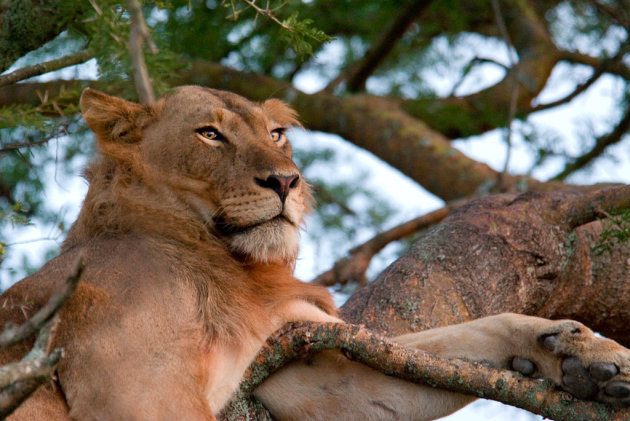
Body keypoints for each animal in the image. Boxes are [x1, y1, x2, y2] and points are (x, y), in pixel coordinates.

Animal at [3, 86, 630, 420]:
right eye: (209, 134)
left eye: (276, 133)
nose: (287, 181)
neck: (235, 271)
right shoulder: (135, 392)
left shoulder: (303, 366)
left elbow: (464, 338)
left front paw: (586, 356)